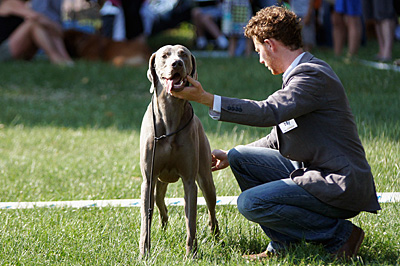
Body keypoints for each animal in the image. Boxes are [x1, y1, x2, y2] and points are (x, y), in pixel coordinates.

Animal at [139, 45, 220, 258]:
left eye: (183, 54)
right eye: (164, 55)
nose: (177, 64)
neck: (170, 113)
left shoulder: (190, 180)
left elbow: (191, 220)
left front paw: (191, 253)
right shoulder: (148, 179)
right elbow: (145, 219)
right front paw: (144, 253)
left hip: (205, 178)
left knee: (211, 208)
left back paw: (216, 236)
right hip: (159, 181)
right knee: (159, 203)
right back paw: (163, 227)